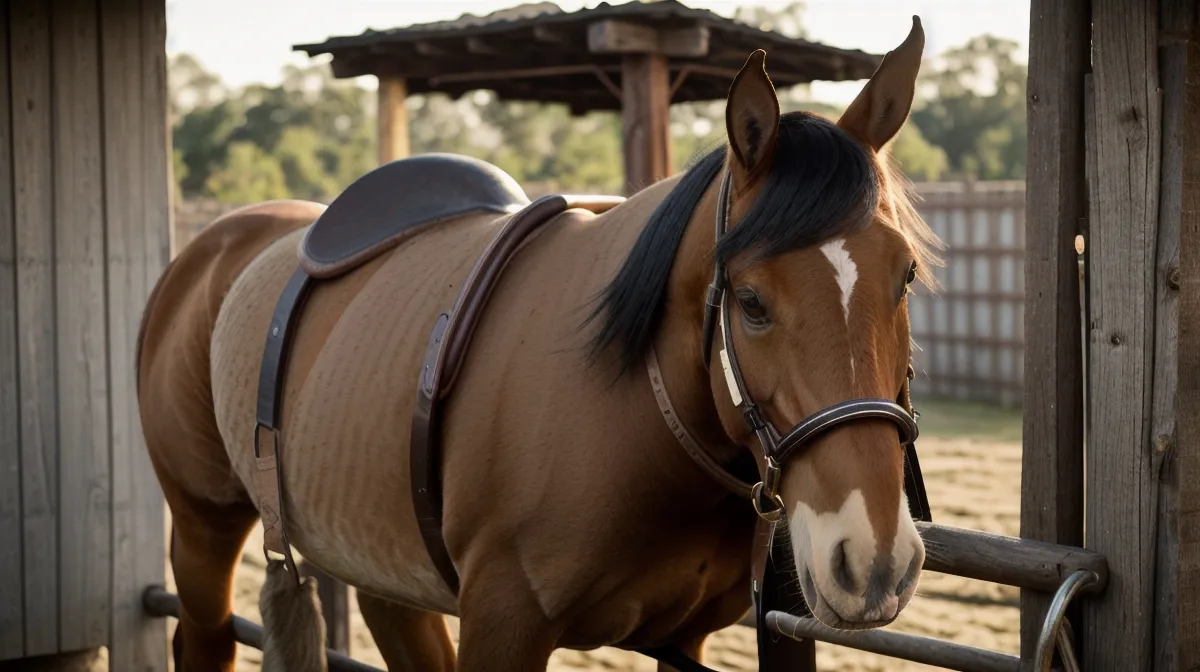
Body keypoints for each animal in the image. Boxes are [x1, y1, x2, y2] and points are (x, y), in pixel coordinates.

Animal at [137, 17, 939, 672]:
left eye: (904, 277)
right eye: (750, 302)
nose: (872, 562)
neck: (636, 410)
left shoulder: (684, 640)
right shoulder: (504, 623)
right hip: (202, 525)